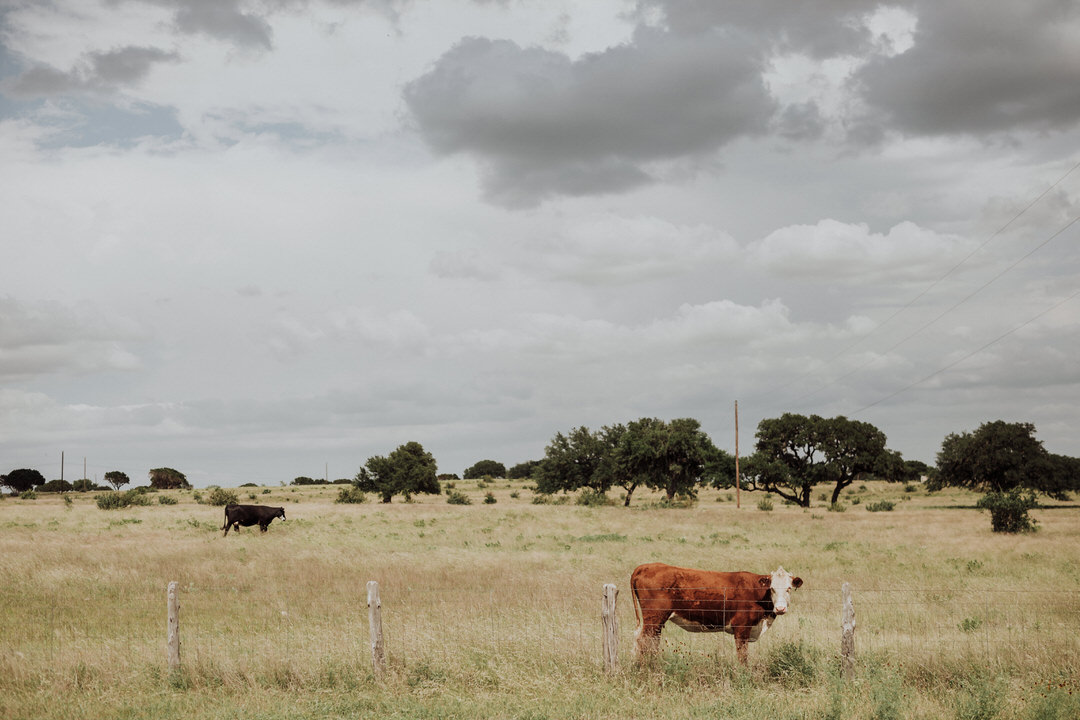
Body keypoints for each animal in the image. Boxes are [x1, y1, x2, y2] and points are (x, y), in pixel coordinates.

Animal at [631, 562, 803, 665]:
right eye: (772, 588)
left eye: (789, 588)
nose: (780, 608)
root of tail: (645, 566)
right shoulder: (741, 627)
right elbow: (743, 656)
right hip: (654, 617)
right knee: (643, 641)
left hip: (655, 621)